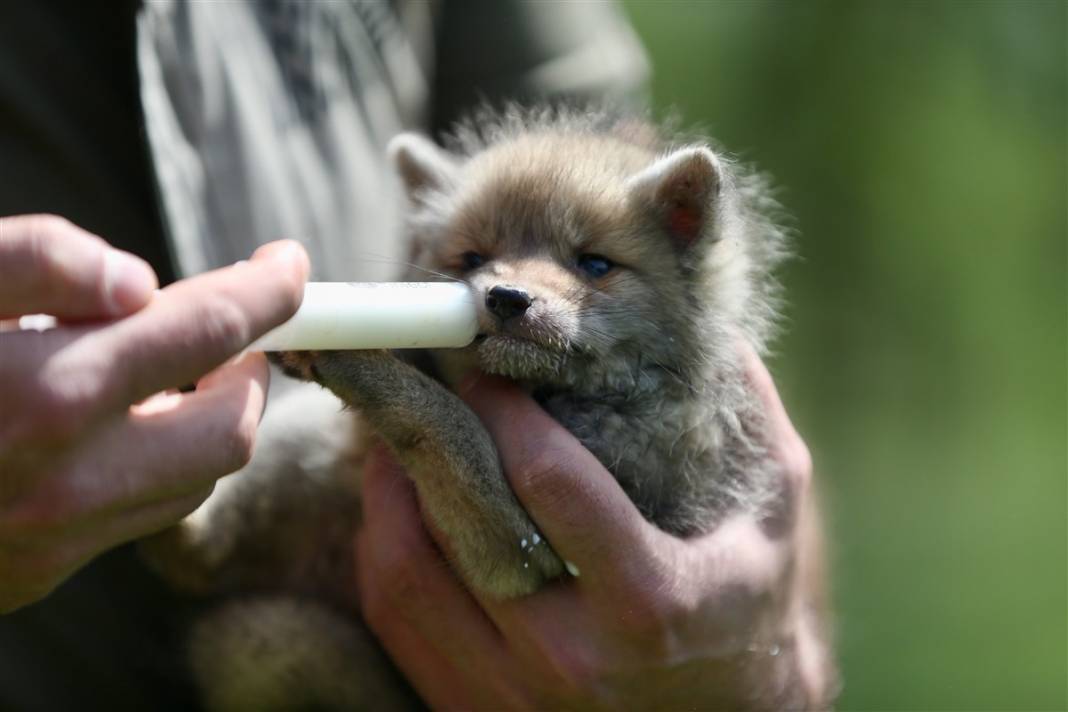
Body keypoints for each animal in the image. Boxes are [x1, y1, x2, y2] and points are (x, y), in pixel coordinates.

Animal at [142, 108, 794, 708]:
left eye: (594, 264)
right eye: (473, 258)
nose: (507, 297)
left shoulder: (525, 555)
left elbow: (447, 421)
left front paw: (350, 350)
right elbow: (450, 415)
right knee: (195, 559)